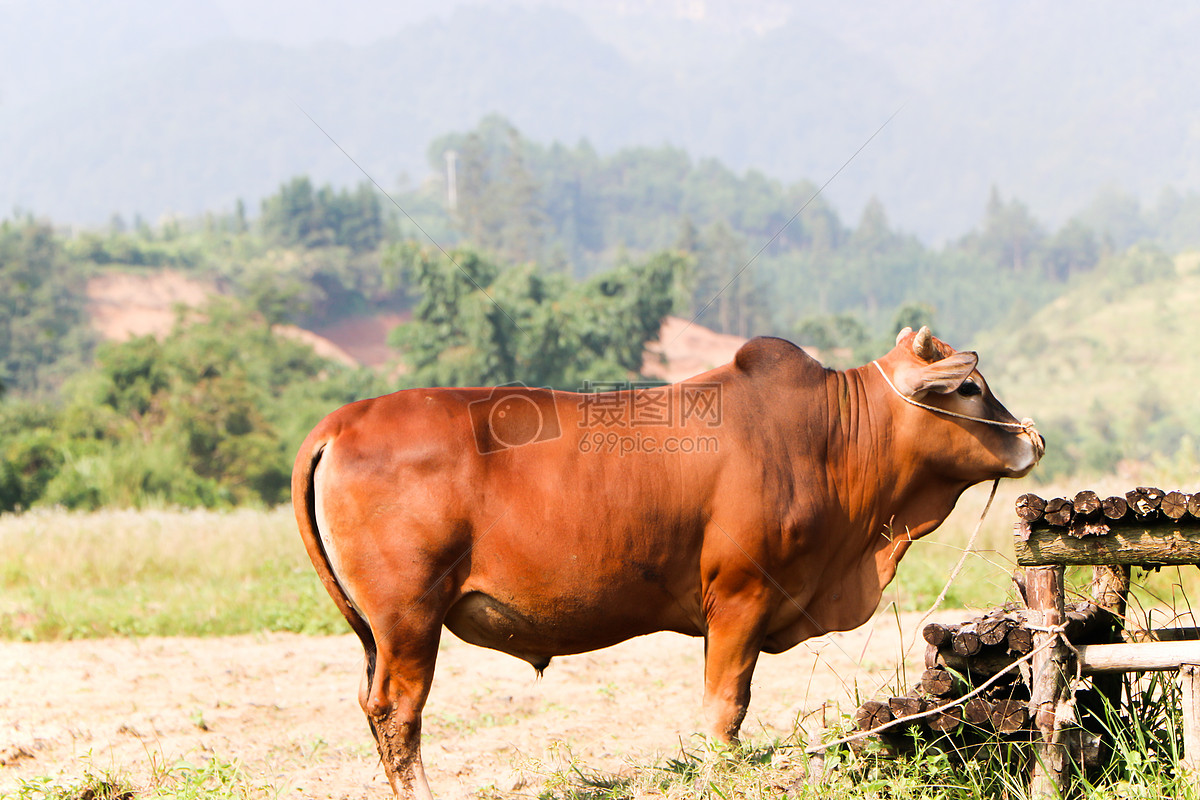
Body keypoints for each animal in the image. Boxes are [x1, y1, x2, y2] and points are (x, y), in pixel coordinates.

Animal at [290, 323, 1041, 796]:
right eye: (970, 389)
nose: (1032, 439)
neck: (831, 436)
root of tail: (342, 422)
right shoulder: (741, 597)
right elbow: (725, 705)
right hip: (408, 621)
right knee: (398, 712)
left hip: (379, 632)